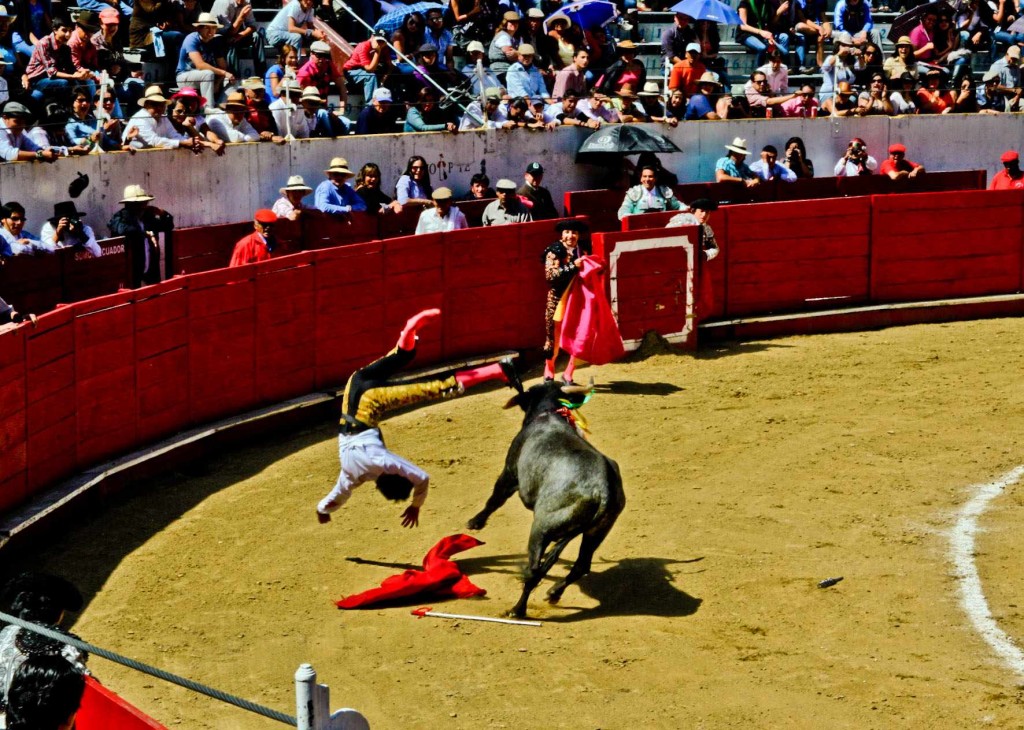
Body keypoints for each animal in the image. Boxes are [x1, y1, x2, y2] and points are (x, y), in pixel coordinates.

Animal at [468, 378, 626, 618]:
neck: (549, 413)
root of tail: (603, 489)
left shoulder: (509, 473)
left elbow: (495, 499)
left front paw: (475, 522)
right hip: (597, 531)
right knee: (581, 565)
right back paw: (553, 593)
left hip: (541, 529)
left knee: (535, 571)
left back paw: (517, 610)